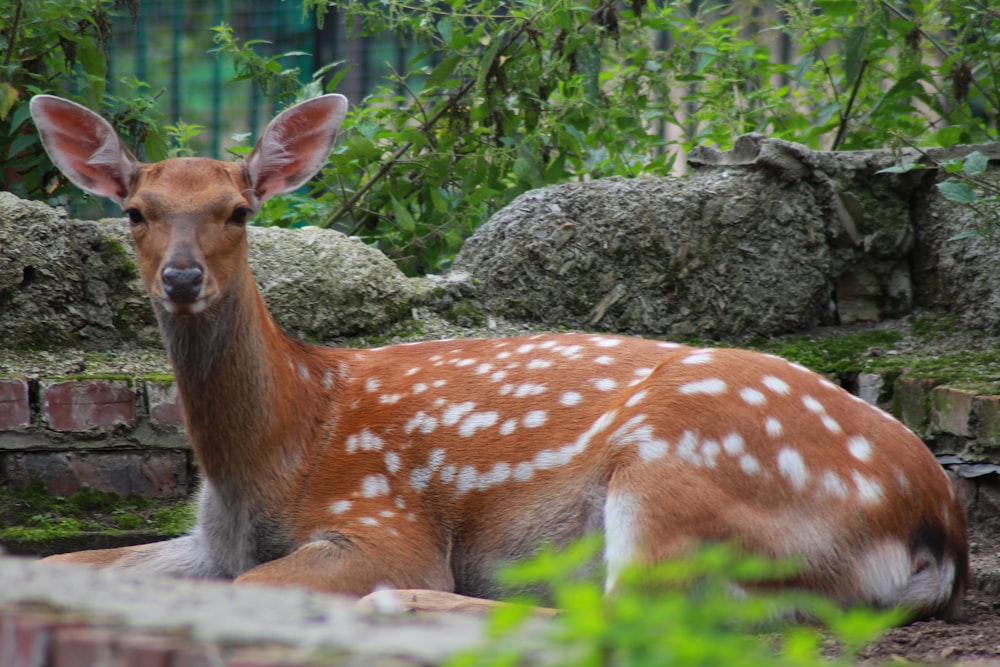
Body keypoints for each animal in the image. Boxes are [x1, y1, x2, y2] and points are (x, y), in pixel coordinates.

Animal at [29, 92, 968, 620]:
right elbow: (57, 564)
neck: (281, 445)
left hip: (682, 470)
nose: (183, 277)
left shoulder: (383, 516)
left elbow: (256, 586)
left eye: (238, 210)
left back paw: (417, 602)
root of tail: (938, 526)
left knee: (617, 617)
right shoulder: (207, 537)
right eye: (136, 211)